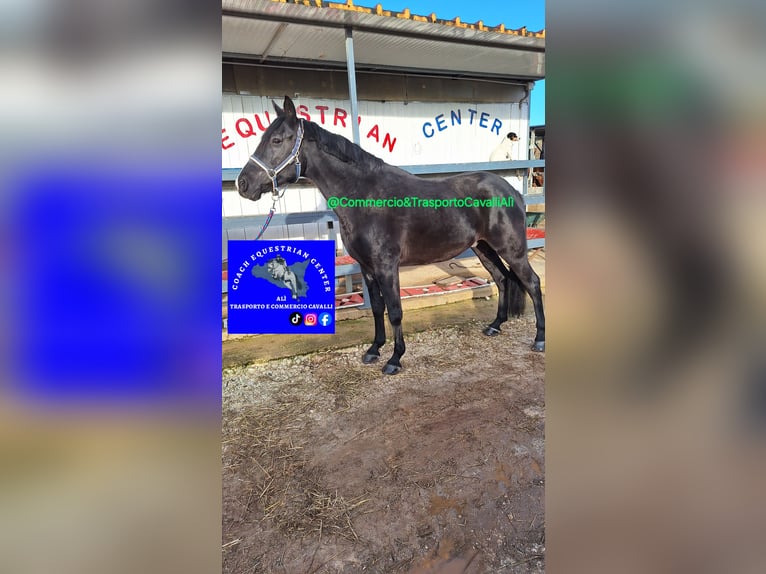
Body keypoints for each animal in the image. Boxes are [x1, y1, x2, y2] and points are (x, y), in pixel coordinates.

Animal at [237, 97, 544, 376]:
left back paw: (539, 339)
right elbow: (376, 308)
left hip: (512, 250)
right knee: (502, 279)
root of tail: (510, 190)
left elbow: (395, 310)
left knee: (532, 282)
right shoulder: (367, 268)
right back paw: (495, 325)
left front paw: (395, 359)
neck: (366, 196)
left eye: (277, 140)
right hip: (483, 248)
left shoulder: (386, 266)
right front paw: (374, 349)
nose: (243, 183)